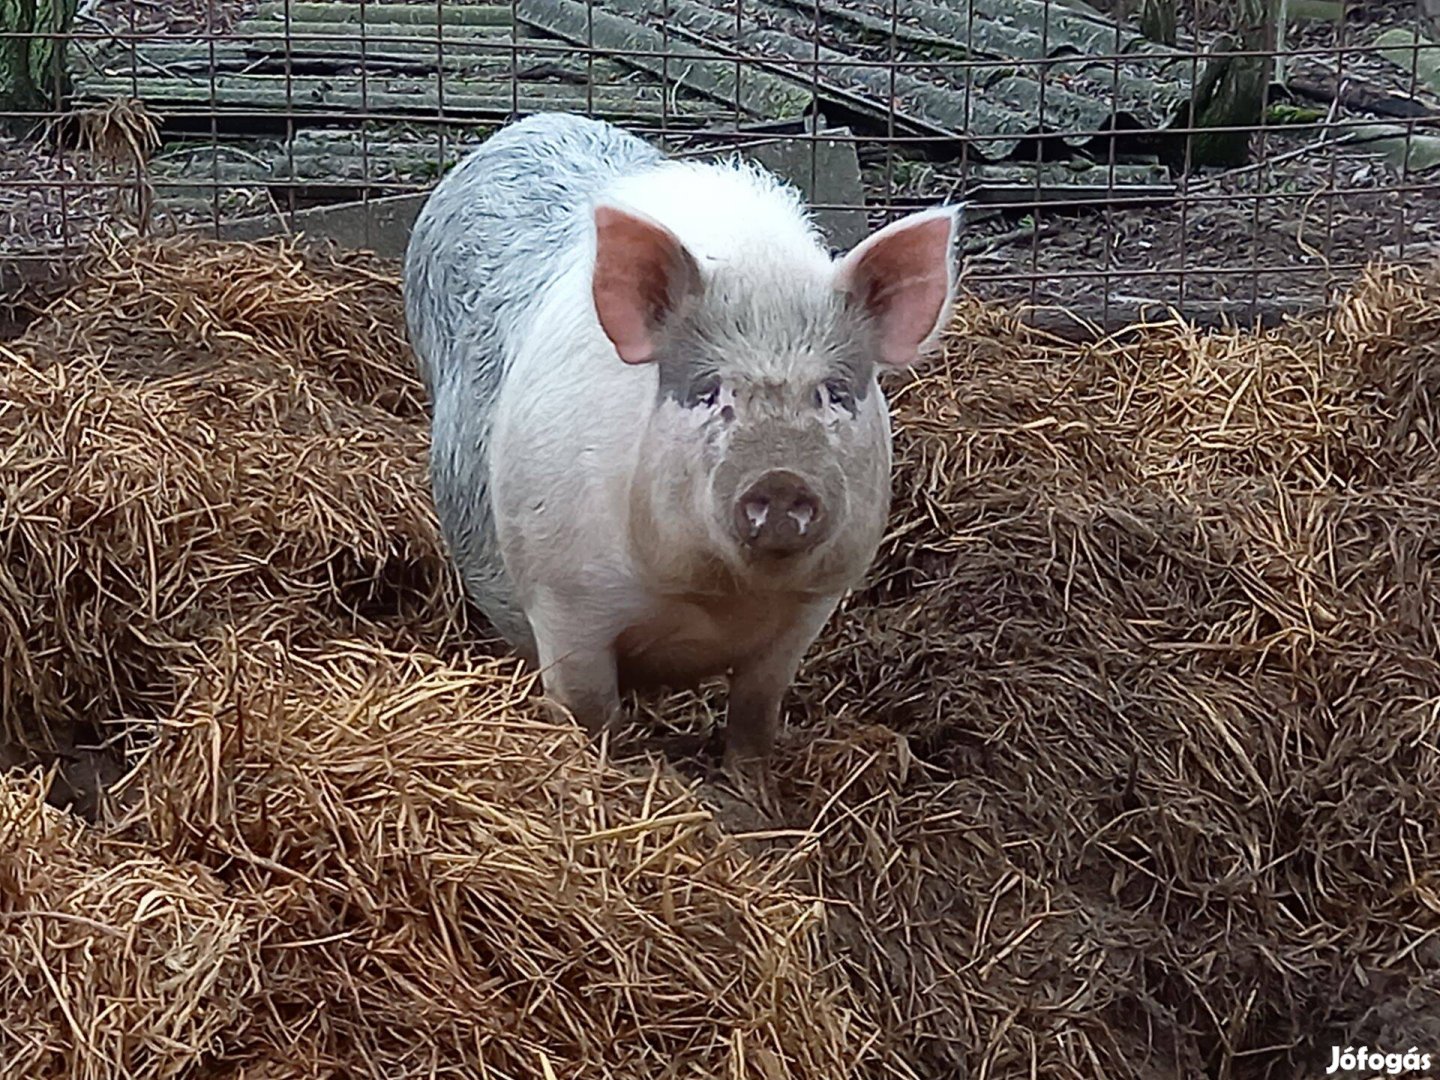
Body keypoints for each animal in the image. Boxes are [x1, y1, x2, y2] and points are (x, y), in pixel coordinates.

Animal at [400, 112, 961, 777]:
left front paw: (753, 793)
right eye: (708, 390)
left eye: (834, 392)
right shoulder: (564, 600)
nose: (779, 479)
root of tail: (533, 121)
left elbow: (755, 715)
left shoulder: (809, 609)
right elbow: (591, 714)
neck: (715, 599)